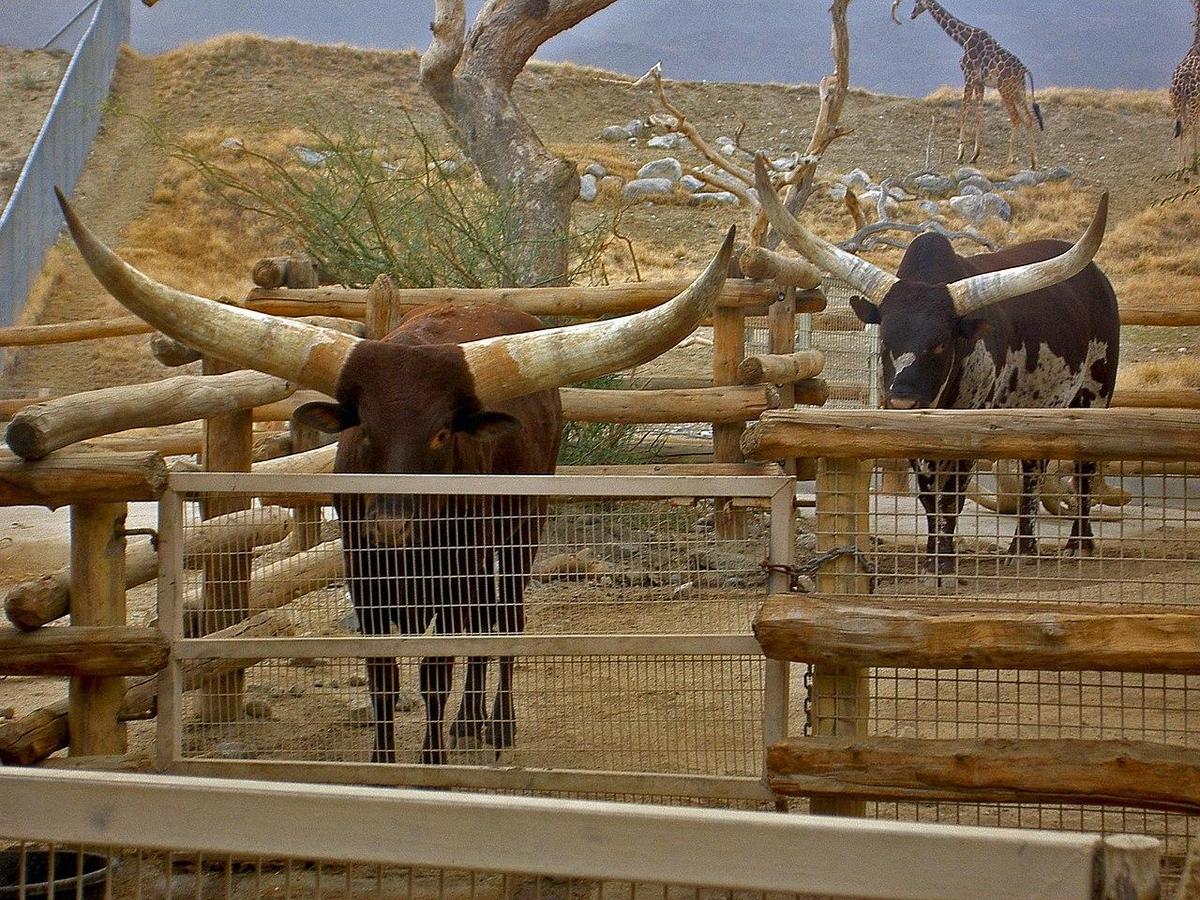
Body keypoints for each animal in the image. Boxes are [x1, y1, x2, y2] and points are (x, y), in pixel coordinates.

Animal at [58, 188, 739, 763]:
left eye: (440, 433)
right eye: (364, 428)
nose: (389, 527)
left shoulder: (449, 572)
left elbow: (435, 671)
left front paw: (433, 760)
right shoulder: (365, 578)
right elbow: (382, 677)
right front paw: (386, 761)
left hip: (523, 522)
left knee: (505, 615)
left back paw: (496, 726)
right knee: (482, 621)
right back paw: (470, 724)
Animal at [753, 156, 1118, 573]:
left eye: (941, 344)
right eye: (885, 340)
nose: (903, 401)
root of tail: (1098, 279)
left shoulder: (972, 427)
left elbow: (951, 496)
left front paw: (945, 560)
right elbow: (929, 496)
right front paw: (932, 555)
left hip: (1094, 393)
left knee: (1084, 468)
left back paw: (1079, 543)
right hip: (1038, 407)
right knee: (1032, 469)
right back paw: (1021, 547)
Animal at [897, 0, 1046, 170]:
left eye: (917, 2)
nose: (912, 14)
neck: (964, 40)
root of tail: (1024, 69)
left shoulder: (968, 76)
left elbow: (964, 112)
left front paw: (960, 154)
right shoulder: (979, 83)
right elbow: (978, 116)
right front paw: (974, 155)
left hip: (1004, 89)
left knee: (1016, 118)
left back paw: (1010, 160)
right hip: (1019, 90)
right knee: (1028, 118)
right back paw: (1034, 162)